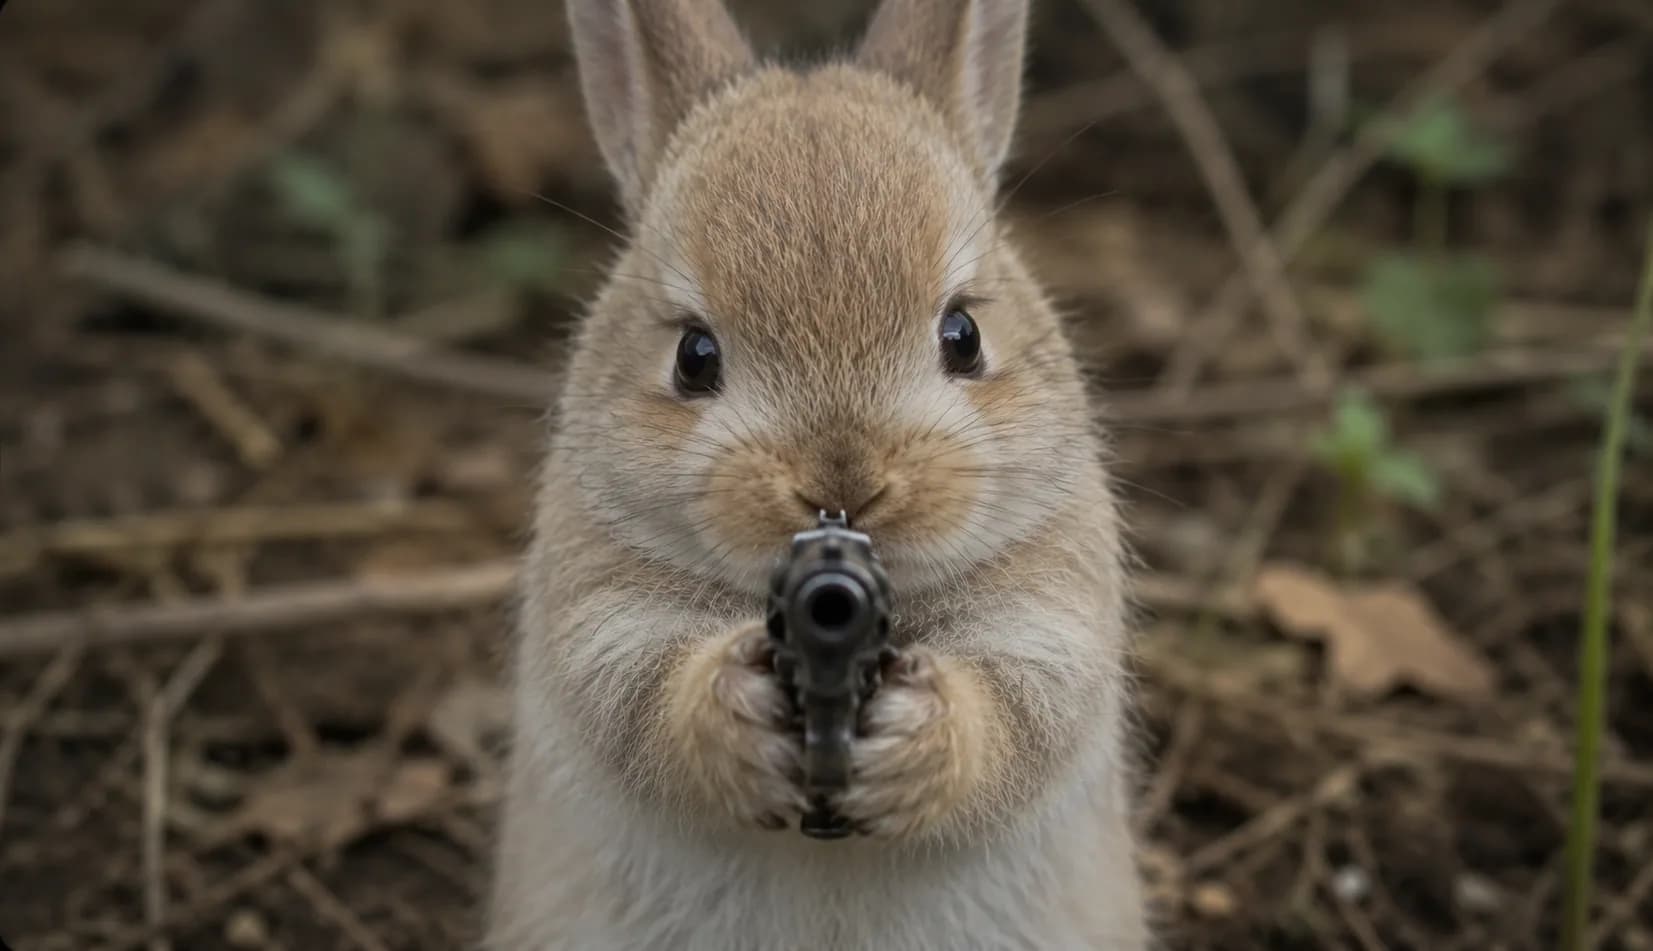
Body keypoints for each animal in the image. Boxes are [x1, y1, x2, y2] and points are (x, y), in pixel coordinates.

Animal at [483, 0, 1150, 948]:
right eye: (692, 356)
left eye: (963, 335)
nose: (845, 482)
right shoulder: (597, 615)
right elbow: (639, 699)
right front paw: (738, 713)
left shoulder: (1052, 620)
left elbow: (1015, 718)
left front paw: (912, 743)